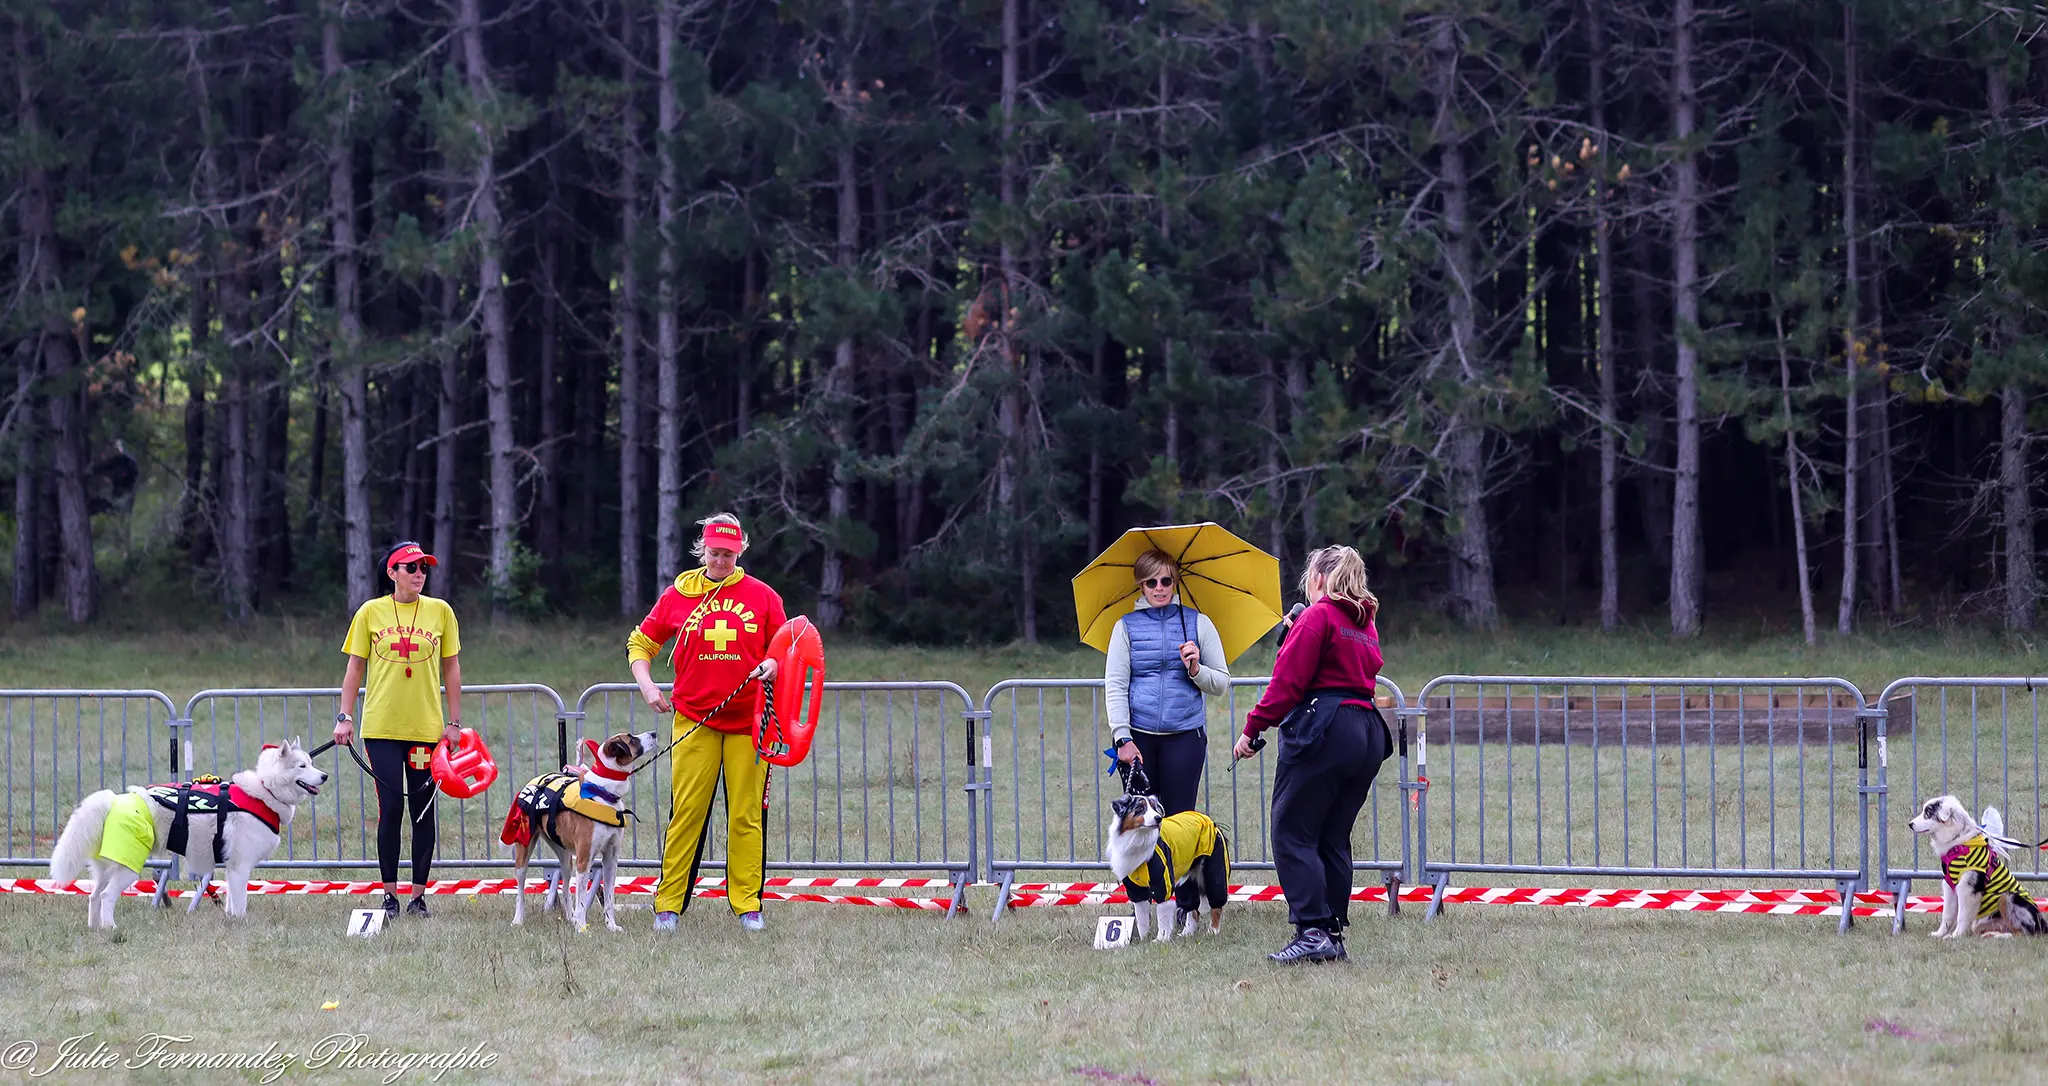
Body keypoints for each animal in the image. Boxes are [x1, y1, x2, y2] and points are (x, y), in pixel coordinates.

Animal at [499, 729, 651, 926]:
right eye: (632, 739)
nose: (654, 734)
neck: (603, 793)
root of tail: (533, 782)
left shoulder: (610, 859)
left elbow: (608, 899)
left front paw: (611, 926)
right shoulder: (584, 860)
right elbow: (582, 899)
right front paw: (581, 927)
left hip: (565, 857)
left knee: (565, 890)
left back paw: (571, 918)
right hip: (523, 855)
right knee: (520, 891)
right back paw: (518, 920)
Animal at [1908, 790, 2039, 934]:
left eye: (1928, 813)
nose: (1910, 824)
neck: (1957, 840)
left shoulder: (1967, 888)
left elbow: (1962, 916)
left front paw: (1955, 935)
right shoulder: (1949, 887)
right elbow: (1947, 915)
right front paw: (1940, 934)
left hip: (2010, 897)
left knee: (2022, 932)